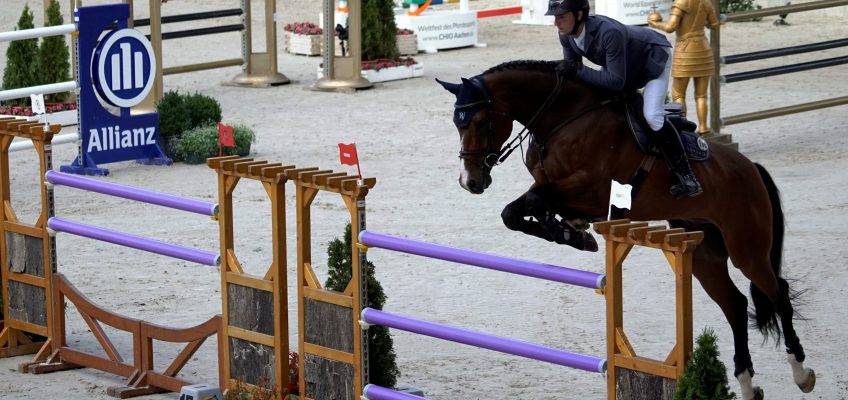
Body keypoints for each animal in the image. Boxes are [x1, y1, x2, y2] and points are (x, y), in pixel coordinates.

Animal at [438, 60, 816, 400]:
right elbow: (515, 211)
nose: (470, 181)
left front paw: (571, 232)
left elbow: (533, 200)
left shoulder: (592, 192)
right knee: (736, 305)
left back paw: (801, 373)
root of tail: (751, 168)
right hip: (704, 252)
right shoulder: (554, 188)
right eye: (457, 123)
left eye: (481, 121)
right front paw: (571, 233)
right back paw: (747, 384)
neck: (561, 120)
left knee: (777, 294)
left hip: (746, 248)